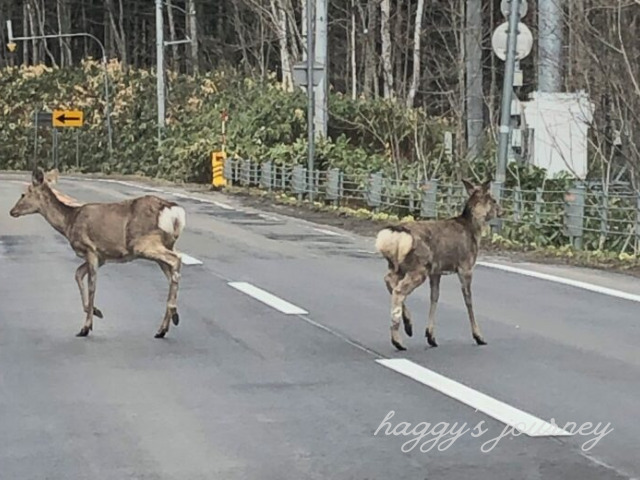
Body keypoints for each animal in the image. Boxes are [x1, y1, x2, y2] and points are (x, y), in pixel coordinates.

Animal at [9, 168, 185, 338]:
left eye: (24, 194)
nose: (12, 211)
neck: (69, 222)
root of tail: (174, 212)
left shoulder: (91, 250)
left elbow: (92, 285)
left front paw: (86, 327)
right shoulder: (102, 257)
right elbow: (78, 274)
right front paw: (95, 311)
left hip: (143, 243)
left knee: (176, 259)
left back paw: (172, 313)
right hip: (165, 245)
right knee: (172, 272)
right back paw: (164, 326)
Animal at [376, 178, 504, 350]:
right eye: (494, 200)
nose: (502, 211)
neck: (473, 230)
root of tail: (395, 235)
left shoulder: (436, 271)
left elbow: (435, 297)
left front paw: (430, 336)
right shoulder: (465, 266)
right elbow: (468, 300)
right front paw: (479, 336)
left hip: (398, 266)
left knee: (389, 280)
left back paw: (408, 325)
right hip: (419, 267)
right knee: (398, 290)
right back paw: (398, 341)